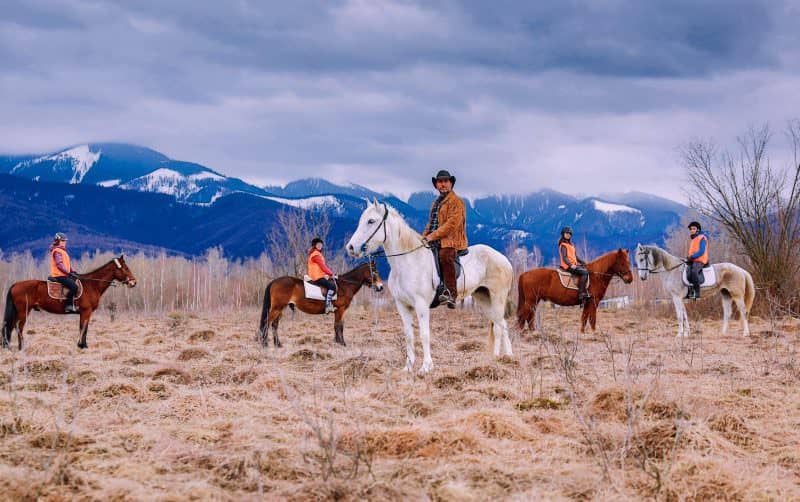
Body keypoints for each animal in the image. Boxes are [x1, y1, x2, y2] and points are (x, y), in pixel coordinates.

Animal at [1, 255, 136, 350]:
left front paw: (82, 345)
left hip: (18, 312)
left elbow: (84, 328)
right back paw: (21, 348)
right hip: (23, 311)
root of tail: (15, 284)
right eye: (125, 268)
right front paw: (83, 346)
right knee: (19, 327)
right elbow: (83, 328)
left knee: (11, 326)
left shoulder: (86, 313)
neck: (92, 285)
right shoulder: (86, 312)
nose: (133, 282)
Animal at [346, 200, 512, 372]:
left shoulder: (421, 305)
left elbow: (424, 335)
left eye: (371, 221)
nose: (351, 248)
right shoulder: (402, 305)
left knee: (499, 327)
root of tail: (503, 259)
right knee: (501, 324)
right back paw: (505, 357)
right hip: (483, 298)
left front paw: (426, 367)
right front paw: (408, 367)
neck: (407, 262)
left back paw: (500, 358)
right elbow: (409, 335)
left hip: (497, 297)